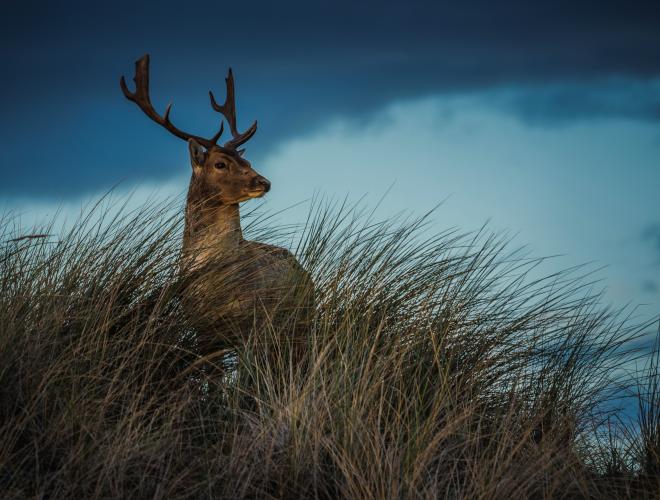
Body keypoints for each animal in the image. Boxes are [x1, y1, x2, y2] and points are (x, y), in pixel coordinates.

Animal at [121, 53, 314, 360]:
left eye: (247, 161)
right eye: (220, 164)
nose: (264, 182)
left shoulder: (253, 321)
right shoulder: (201, 327)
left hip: (301, 321)